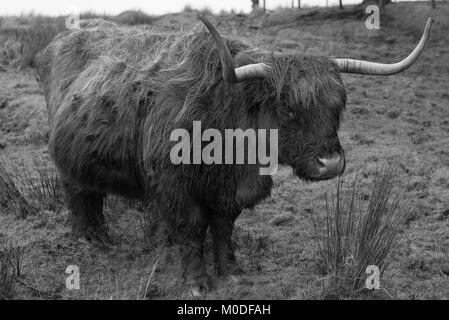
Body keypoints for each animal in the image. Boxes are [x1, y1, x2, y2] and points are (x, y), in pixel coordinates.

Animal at [36, 16, 430, 294]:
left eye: (339, 106)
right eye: (287, 107)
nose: (330, 163)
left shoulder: (229, 191)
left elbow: (225, 226)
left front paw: (231, 271)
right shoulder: (174, 185)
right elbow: (193, 228)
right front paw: (197, 281)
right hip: (67, 162)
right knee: (79, 195)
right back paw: (91, 239)